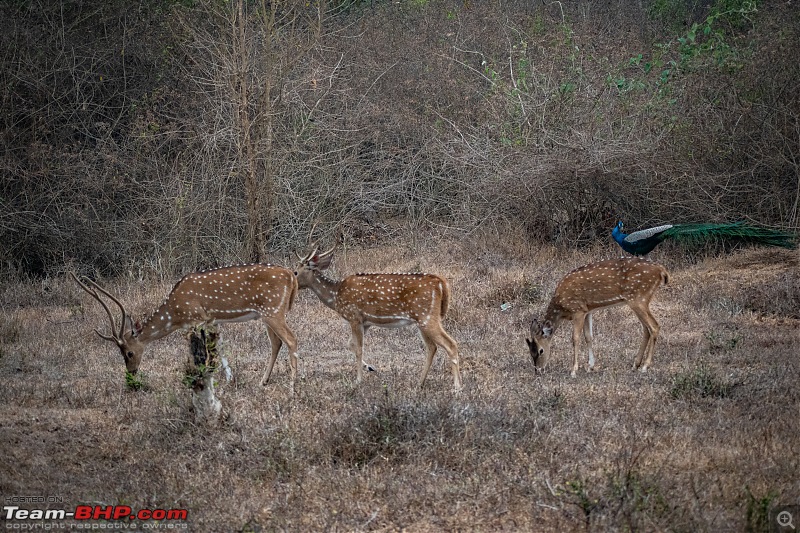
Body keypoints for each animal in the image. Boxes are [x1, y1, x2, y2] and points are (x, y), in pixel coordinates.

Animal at [72, 264, 300, 388]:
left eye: (128, 352)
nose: (131, 373)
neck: (175, 313)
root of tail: (291, 275)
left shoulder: (196, 318)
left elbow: (201, 353)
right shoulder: (211, 319)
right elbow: (219, 348)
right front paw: (229, 378)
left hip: (273, 311)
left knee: (291, 340)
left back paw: (292, 385)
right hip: (266, 314)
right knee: (276, 343)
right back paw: (263, 381)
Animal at [294, 245, 462, 390]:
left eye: (295, 272)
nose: (293, 284)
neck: (335, 296)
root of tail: (441, 283)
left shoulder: (354, 316)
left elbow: (359, 348)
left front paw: (358, 380)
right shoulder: (366, 322)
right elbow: (350, 344)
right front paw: (370, 367)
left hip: (427, 316)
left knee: (450, 344)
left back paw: (457, 386)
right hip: (422, 320)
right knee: (432, 347)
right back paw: (419, 383)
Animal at [524, 256, 668, 374]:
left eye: (540, 350)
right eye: (530, 352)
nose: (538, 370)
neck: (562, 309)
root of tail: (661, 270)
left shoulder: (578, 310)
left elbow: (575, 338)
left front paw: (574, 369)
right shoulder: (587, 310)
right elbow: (589, 337)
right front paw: (590, 366)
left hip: (639, 298)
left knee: (654, 326)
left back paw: (645, 366)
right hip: (639, 300)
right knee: (646, 329)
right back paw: (635, 365)